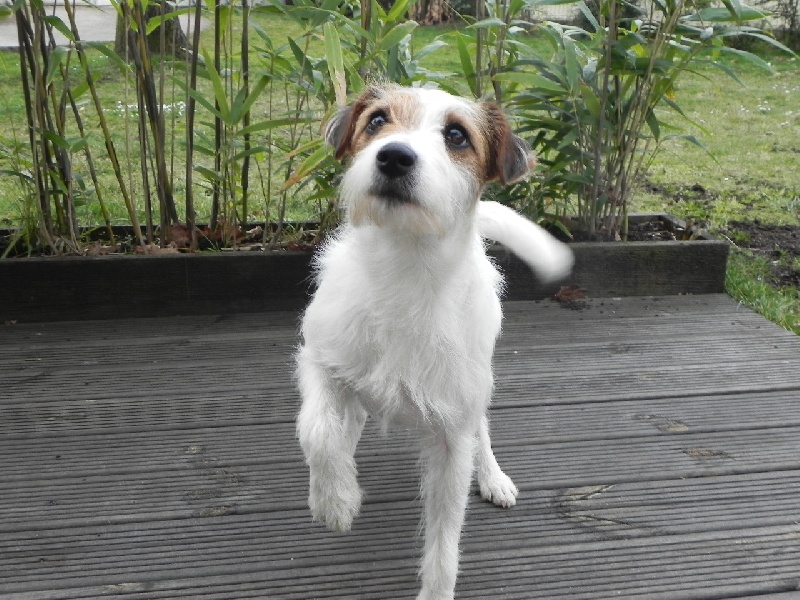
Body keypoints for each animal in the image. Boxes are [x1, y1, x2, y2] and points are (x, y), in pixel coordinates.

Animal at [296, 84, 572, 600]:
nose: (394, 157)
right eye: (377, 120)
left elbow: (445, 538)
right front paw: (336, 498)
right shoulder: (319, 360)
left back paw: (494, 477)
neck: (404, 270)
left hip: (477, 382)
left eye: (457, 135)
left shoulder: (451, 440)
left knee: (483, 427)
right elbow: (318, 429)